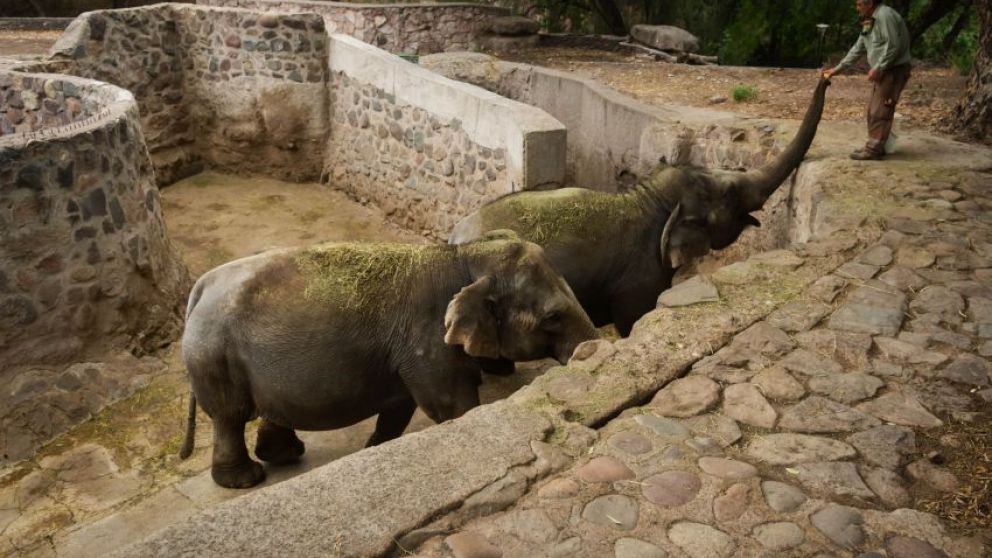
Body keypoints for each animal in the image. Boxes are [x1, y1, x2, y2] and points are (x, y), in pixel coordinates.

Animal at [178, 231, 599, 488]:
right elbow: (449, 405)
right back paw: (247, 479)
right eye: (552, 316)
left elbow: (400, 405)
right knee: (229, 418)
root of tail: (200, 287)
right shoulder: (425, 336)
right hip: (215, 359)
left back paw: (285, 455)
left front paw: (374, 450)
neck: (463, 256)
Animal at [450, 77, 830, 337]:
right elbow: (634, 319)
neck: (650, 197)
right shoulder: (638, 275)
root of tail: (454, 236)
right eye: (732, 194)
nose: (827, 75)